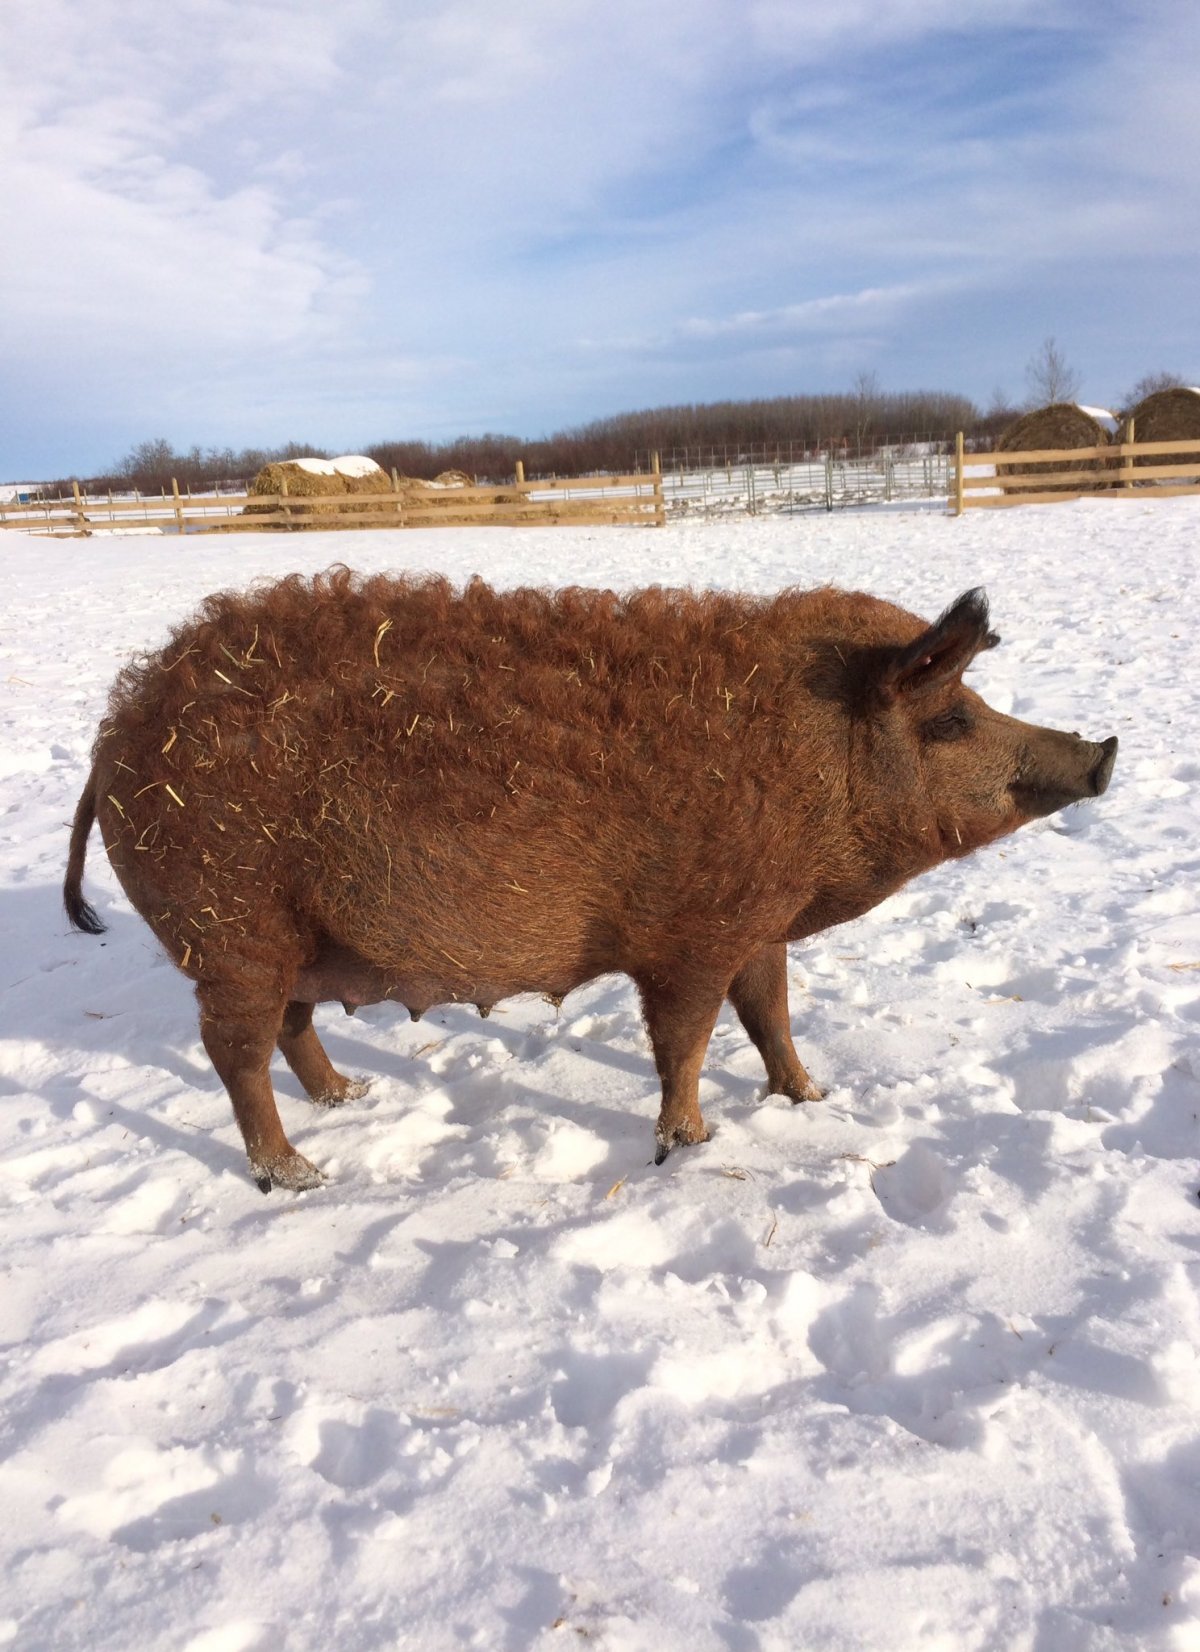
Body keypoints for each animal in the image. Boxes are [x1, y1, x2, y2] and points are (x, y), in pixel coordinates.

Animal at [63, 568, 1117, 1189]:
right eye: (954, 720)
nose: (1103, 752)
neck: (814, 764)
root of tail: (114, 740)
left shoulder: (755, 921)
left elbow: (770, 1012)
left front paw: (810, 1098)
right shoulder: (693, 930)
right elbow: (686, 1039)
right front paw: (690, 1146)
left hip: (292, 935)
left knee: (289, 1027)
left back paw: (351, 1098)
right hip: (229, 921)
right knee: (233, 1051)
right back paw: (302, 1175)